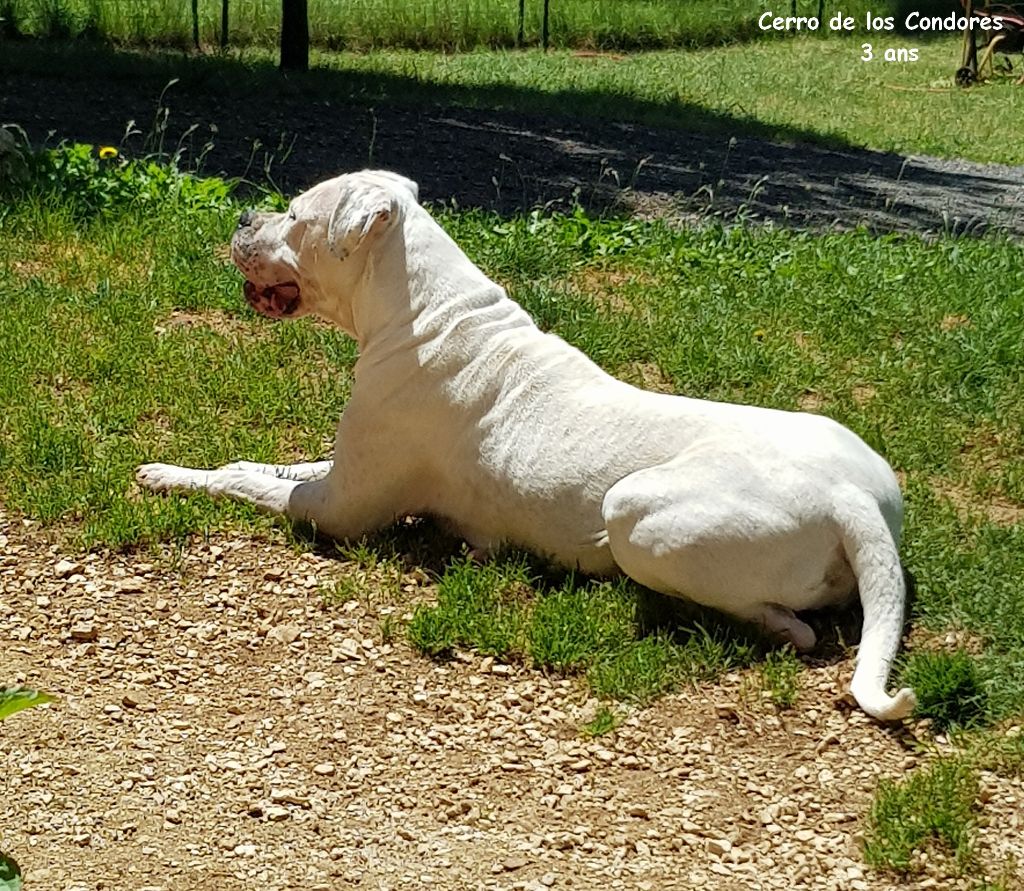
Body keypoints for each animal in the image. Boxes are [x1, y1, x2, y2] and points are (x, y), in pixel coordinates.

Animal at [136, 168, 913, 725]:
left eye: (295, 215)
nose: (242, 216)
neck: (426, 309)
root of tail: (852, 501)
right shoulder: (341, 471)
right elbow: (260, 464)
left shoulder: (338, 508)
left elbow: (244, 481)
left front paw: (163, 474)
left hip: (635, 511)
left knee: (793, 628)